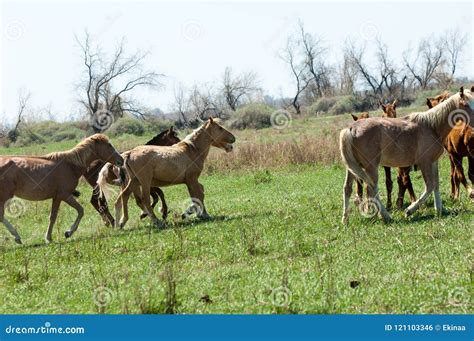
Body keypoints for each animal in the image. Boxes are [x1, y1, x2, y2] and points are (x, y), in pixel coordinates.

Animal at [104, 117, 236, 228]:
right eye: (220, 128)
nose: (233, 139)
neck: (191, 150)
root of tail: (129, 154)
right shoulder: (192, 179)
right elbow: (198, 195)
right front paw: (200, 214)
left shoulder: (190, 181)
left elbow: (198, 194)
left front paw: (197, 213)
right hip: (145, 182)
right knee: (144, 200)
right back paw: (157, 221)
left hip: (134, 182)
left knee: (123, 197)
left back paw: (120, 223)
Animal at [340, 87, 474, 223]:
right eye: (465, 104)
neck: (432, 126)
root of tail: (350, 129)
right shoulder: (424, 162)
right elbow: (430, 186)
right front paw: (409, 210)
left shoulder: (433, 162)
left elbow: (436, 184)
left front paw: (439, 210)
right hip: (371, 167)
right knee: (371, 189)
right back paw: (386, 216)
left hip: (353, 168)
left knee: (347, 189)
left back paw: (345, 220)